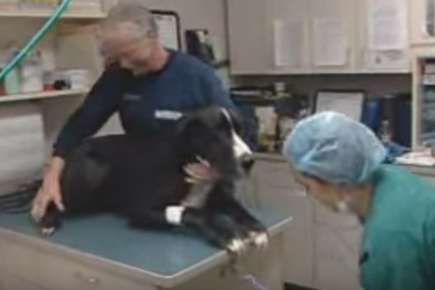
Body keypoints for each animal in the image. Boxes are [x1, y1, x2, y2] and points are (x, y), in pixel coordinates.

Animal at [36, 107, 270, 256]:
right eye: (218, 133)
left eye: (240, 131)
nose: (249, 161)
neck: (187, 160)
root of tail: (74, 150)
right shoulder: (140, 209)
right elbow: (194, 212)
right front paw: (227, 233)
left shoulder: (220, 198)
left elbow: (238, 209)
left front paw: (255, 228)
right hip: (93, 170)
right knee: (55, 199)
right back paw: (49, 221)